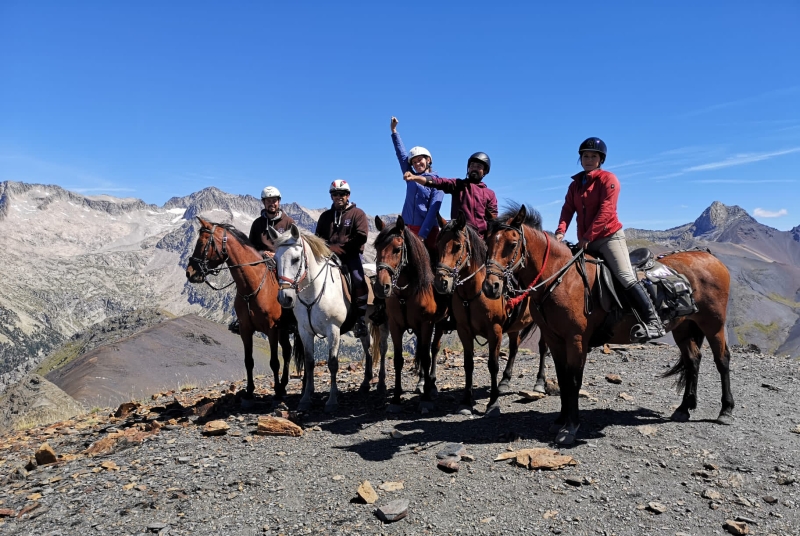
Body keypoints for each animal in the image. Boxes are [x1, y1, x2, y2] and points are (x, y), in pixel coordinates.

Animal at [186, 218, 302, 402]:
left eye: (202, 243)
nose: (189, 273)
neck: (253, 286)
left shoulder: (271, 330)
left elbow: (274, 362)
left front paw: (276, 390)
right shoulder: (245, 329)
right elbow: (249, 361)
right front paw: (249, 390)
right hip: (283, 330)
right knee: (287, 350)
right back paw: (284, 384)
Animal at [270, 224, 390, 412]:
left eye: (296, 259)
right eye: (275, 260)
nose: (285, 298)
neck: (314, 292)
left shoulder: (333, 330)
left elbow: (333, 363)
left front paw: (332, 401)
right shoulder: (305, 332)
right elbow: (309, 363)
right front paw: (305, 399)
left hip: (384, 322)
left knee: (383, 348)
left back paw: (381, 384)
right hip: (363, 324)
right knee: (368, 346)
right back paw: (365, 383)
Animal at [376, 216, 450, 412]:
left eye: (397, 249)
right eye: (376, 248)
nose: (381, 287)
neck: (406, 292)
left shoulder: (426, 324)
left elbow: (426, 357)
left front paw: (425, 398)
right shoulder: (395, 326)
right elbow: (398, 360)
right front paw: (395, 398)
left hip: (439, 324)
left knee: (433, 349)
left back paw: (431, 385)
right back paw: (422, 382)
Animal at [432, 208, 552, 414]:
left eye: (457, 246)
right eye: (438, 245)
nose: (442, 283)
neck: (473, 292)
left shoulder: (494, 330)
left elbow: (493, 365)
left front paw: (493, 402)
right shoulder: (464, 330)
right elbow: (468, 364)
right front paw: (466, 401)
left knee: (543, 348)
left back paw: (539, 382)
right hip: (514, 325)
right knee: (514, 346)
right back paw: (505, 381)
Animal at [478, 205, 736, 444]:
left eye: (512, 244)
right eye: (487, 242)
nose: (491, 287)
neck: (561, 278)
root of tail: (710, 257)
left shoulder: (576, 340)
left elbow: (573, 381)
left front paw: (570, 427)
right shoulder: (554, 339)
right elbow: (562, 378)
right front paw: (560, 420)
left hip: (713, 323)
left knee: (722, 359)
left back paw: (726, 410)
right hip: (684, 326)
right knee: (693, 359)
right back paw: (684, 408)